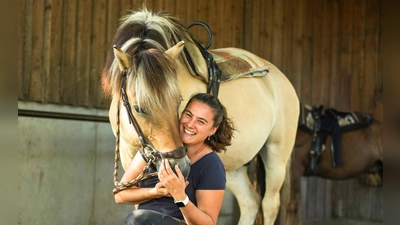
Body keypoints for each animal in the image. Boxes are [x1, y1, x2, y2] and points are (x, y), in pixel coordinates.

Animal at [101, 7, 298, 225]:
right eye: (139, 108)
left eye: (179, 101)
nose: (180, 166)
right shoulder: (129, 156)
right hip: (234, 165)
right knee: (251, 202)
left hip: (276, 155)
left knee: (270, 204)